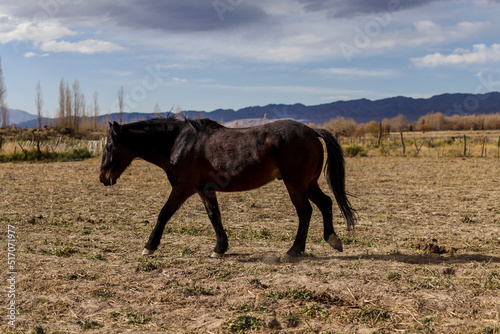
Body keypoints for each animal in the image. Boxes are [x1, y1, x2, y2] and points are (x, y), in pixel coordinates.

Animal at [98, 115, 356, 258]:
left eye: (109, 146)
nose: (102, 177)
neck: (177, 143)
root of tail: (313, 131)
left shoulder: (182, 188)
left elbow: (164, 214)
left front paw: (149, 246)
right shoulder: (205, 190)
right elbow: (215, 217)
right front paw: (220, 248)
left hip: (296, 184)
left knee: (305, 212)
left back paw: (294, 250)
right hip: (309, 183)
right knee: (325, 203)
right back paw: (332, 239)